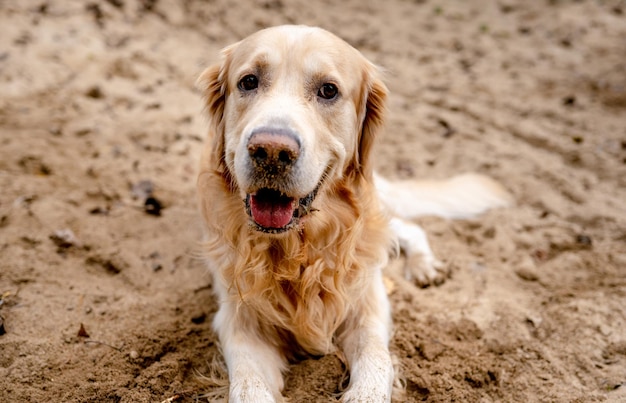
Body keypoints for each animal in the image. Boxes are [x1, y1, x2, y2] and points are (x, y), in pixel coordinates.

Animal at [196, 26, 512, 403]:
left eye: (328, 90)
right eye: (248, 82)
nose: (271, 151)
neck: (297, 251)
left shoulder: (367, 304)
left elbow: (377, 363)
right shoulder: (239, 320)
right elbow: (248, 387)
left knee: (406, 227)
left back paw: (423, 265)